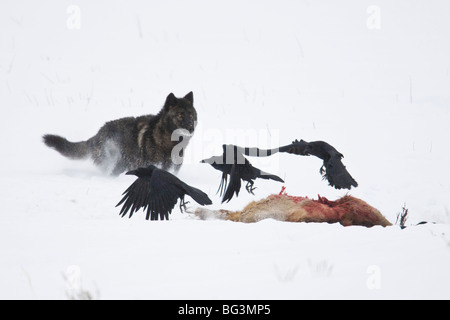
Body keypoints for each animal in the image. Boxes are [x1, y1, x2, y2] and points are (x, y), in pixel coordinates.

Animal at [43, 91, 197, 176]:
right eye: (180, 115)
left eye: (191, 115)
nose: (191, 128)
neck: (166, 142)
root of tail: (98, 134)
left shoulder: (172, 168)